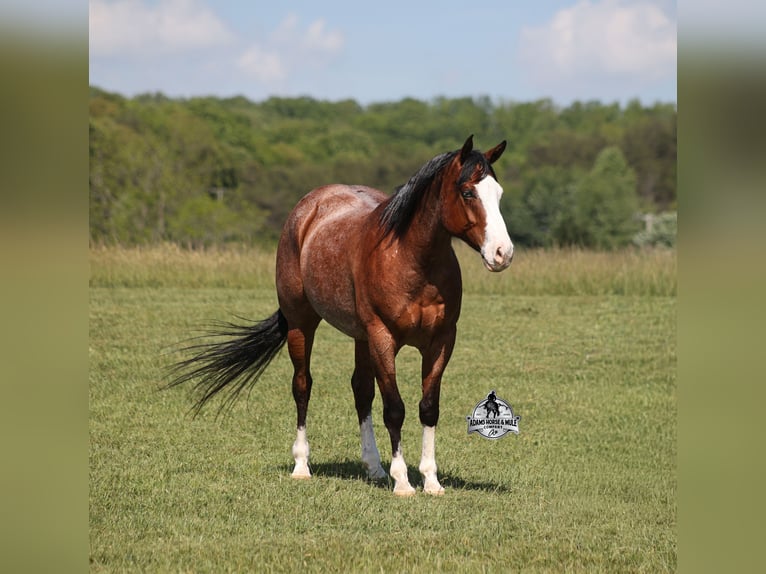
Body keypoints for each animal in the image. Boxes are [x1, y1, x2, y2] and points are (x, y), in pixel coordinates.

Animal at [169, 135, 514, 496]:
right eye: (468, 192)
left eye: (498, 193)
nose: (502, 253)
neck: (411, 259)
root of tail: (308, 208)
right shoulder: (383, 338)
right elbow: (394, 409)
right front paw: (403, 481)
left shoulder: (440, 341)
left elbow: (428, 408)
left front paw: (431, 481)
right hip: (302, 325)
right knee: (302, 386)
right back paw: (302, 465)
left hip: (361, 337)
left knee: (361, 391)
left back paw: (374, 467)